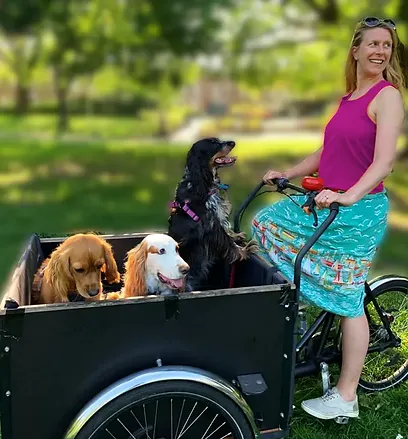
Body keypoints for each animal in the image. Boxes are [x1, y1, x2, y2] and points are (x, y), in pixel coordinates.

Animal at [167, 138, 256, 292]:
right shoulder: (210, 226)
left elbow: (228, 233)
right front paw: (244, 251)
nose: (232, 142)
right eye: (214, 143)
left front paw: (237, 236)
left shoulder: (217, 217)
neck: (200, 183)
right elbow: (228, 242)